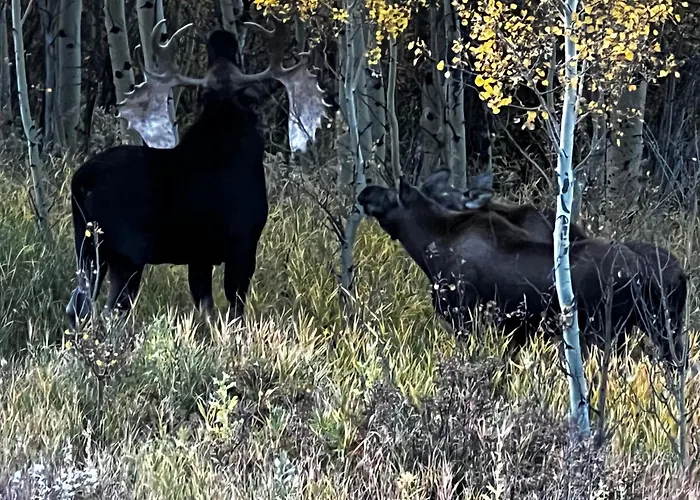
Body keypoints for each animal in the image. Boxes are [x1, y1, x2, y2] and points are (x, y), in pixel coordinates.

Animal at [66, 17, 329, 330]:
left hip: (87, 249)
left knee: (78, 306)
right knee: (110, 312)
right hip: (128, 252)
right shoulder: (244, 243)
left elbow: (207, 309)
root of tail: (82, 180)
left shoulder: (199, 255)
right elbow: (235, 311)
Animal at [358, 174, 688, 371]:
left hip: (607, 330)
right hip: (661, 327)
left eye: (390, 195)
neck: (427, 246)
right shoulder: (516, 331)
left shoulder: (465, 319)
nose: (364, 191)